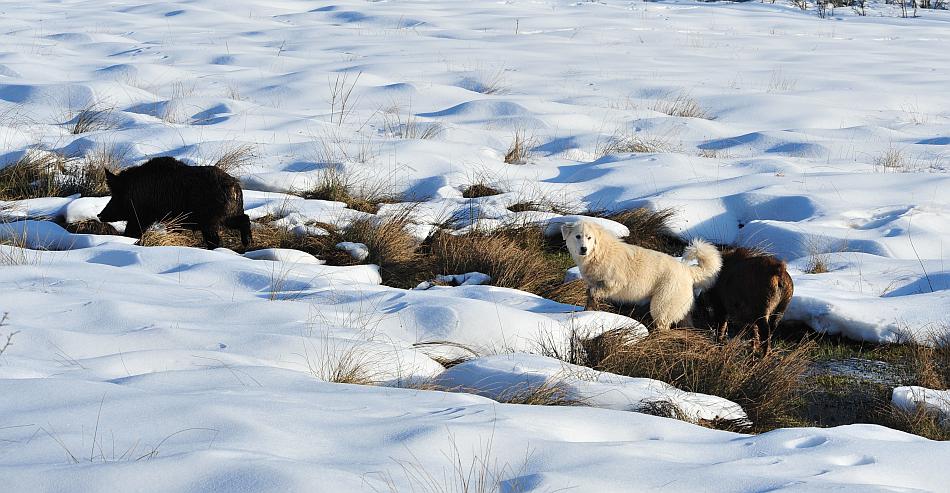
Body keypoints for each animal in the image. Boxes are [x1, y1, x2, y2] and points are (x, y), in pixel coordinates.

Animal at [564, 220, 720, 330]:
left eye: (589, 237)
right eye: (578, 236)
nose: (583, 249)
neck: (598, 252)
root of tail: (687, 270)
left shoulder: (615, 281)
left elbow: (596, 290)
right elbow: (590, 295)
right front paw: (588, 310)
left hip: (662, 301)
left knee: (662, 321)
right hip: (680, 305)